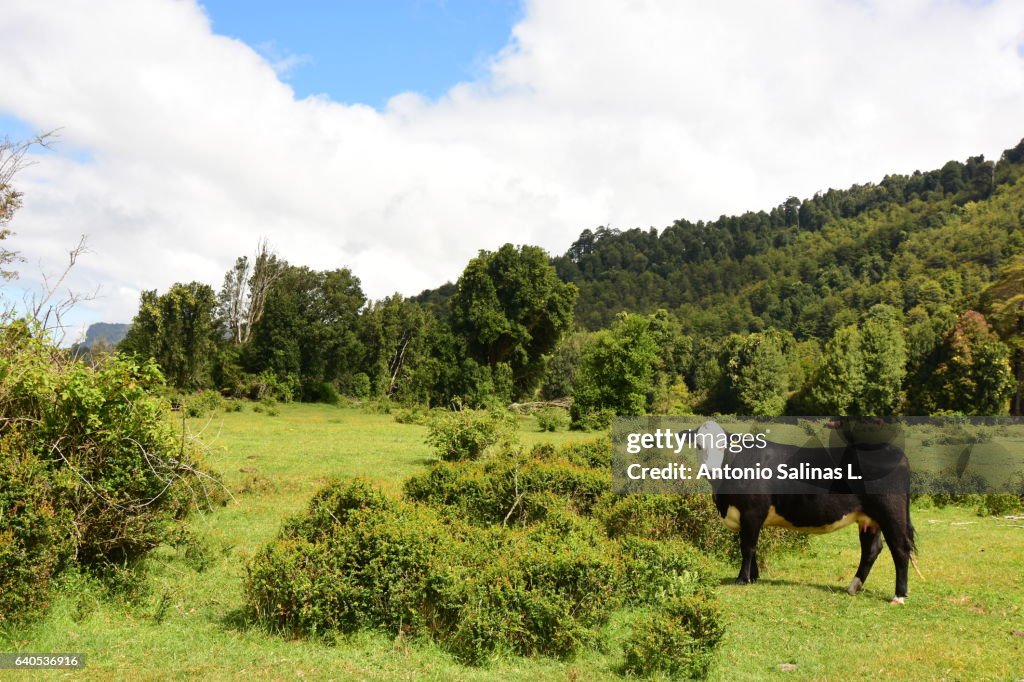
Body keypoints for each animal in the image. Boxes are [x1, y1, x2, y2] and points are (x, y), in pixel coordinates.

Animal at [700, 419, 917, 606]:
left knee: (900, 549)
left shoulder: (751, 513)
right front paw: (753, 577)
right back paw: (853, 586)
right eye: (699, 445)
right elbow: (753, 547)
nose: (709, 469)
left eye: (722, 445)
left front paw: (743, 579)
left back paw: (898, 596)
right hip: (870, 518)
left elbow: (747, 547)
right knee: (871, 549)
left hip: (892, 514)